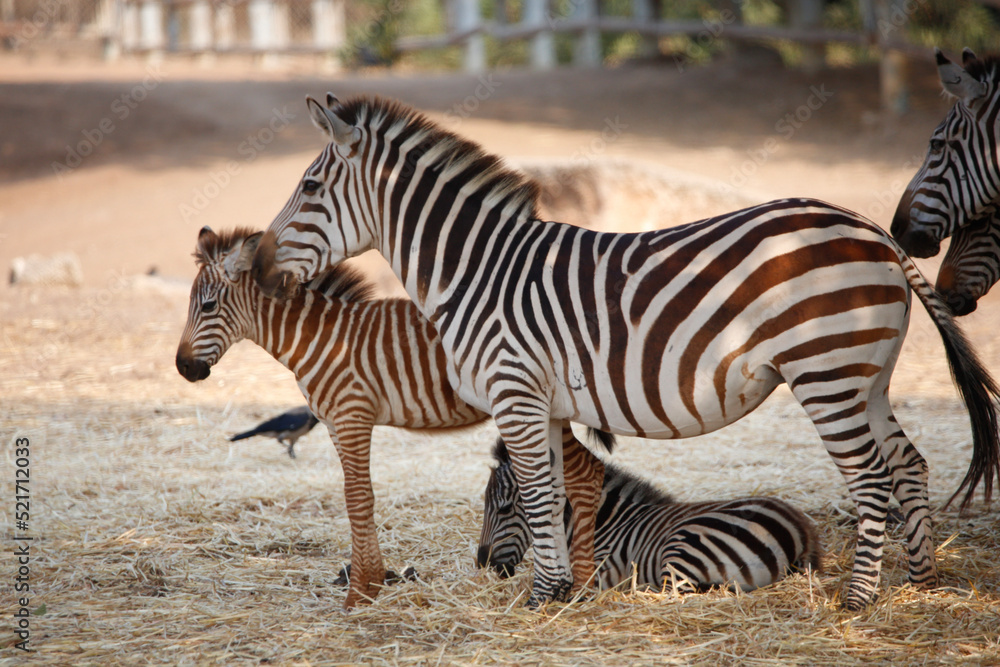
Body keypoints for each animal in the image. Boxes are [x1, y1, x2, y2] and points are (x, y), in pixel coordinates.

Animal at [176, 228, 604, 612]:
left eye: (208, 306)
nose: (183, 368)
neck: (319, 338)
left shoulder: (352, 414)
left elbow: (357, 498)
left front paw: (359, 593)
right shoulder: (334, 422)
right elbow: (356, 497)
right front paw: (371, 584)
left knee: (585, 472)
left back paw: (582, 587)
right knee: (586, 470)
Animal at [478, 440, 820, 592]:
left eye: (505, 508)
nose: (482, 563)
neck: (603, 522)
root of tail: (800, 529)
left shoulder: (600, 569)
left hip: (683, 545)